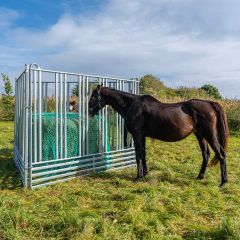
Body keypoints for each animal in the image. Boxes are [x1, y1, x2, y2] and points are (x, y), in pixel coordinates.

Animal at [88, 85, 229, 187]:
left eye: (94, 97)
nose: (89, 112)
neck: (131, 105)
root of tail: (210, 103)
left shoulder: (137, 135)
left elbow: (138, 155)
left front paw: (138, 177)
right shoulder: (142, 136)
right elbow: (143, 154)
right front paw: (145, 174)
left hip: (210, 135)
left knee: (221, 154)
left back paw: (223, 182)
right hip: (200, 135)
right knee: (206, 154)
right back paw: (200, 176)